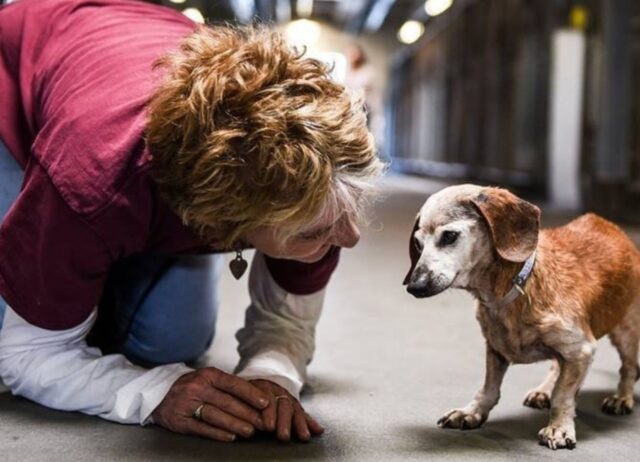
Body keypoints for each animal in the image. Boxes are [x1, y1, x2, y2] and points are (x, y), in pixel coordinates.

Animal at [402, 185, 640, 452]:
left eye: (449, 236)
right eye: (417, 243)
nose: (414, 287)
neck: (514, 289)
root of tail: (613, 227)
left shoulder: (581, 350)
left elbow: (562, 395)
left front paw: (559, 428)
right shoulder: (496, 349)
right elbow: (489, 388)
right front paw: (471, 412)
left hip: (626, 331)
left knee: (630, 368)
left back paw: (621, 398)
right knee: (556, 366)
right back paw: (543, 391)